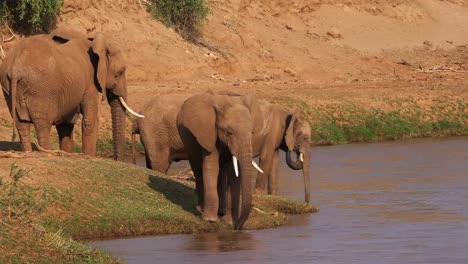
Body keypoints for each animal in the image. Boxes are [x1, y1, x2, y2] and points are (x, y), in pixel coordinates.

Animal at [0, 27, 143, 160]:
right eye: (120, 72)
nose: (117, 159)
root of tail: (15, 68)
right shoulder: (90, 81)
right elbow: (90, 121)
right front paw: (88, 156)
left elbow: (66, 125)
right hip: (40, 91)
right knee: (42, 127)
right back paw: (47, 154)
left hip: (8, 87)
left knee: (21, 125)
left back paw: (29, 153)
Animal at [176, 92, 264, 230]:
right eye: (229, 132)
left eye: (252, 132)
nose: (237, 227)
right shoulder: (209, 134)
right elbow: (211, 167)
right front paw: (210, 220)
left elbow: (234, 173)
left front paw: (228, 222)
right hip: (187, 141)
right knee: (198, 170)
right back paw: (201, 209)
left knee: (221, 173)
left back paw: (220, 211)